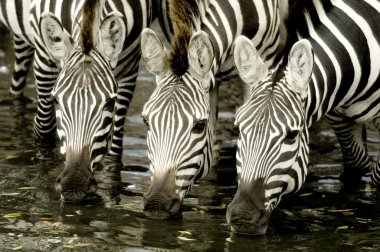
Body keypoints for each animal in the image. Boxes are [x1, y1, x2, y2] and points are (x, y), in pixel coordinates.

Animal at [0, 0, 154, 201]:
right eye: (57, 101)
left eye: (109, 103)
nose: (75, 185)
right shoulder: (44, 57)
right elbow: (44, 129)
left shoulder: (131, 65)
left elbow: (115, 147)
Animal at [140, 0, 290, 218]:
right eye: (146, 121)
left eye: (199, 125)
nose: (157, 204)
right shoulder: (211, 75)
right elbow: (213, 149)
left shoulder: (263, 59)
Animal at [227, 0, 380, 235]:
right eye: (239, 129)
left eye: (291, 135)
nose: (243, 217)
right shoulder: (339, 117)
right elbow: (355, 170)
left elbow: (377, 180)